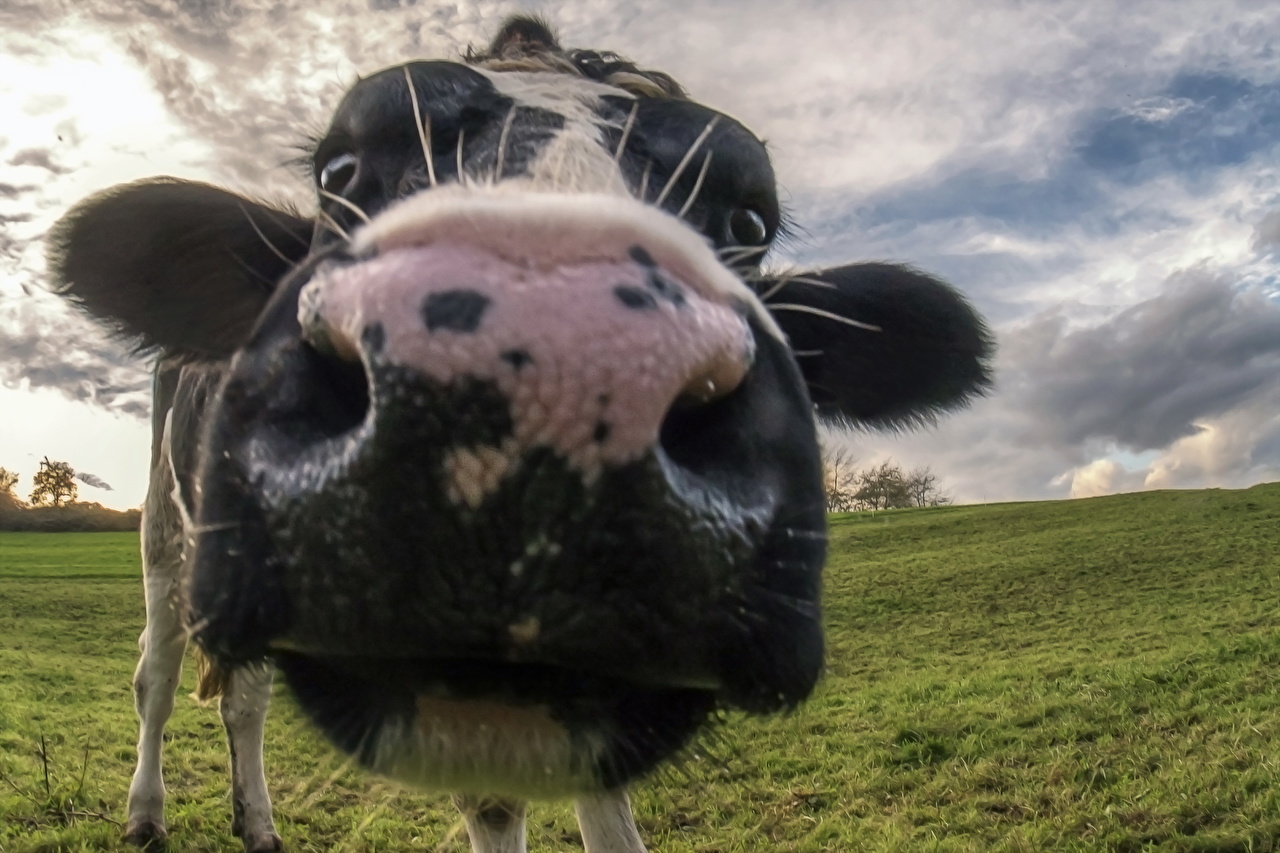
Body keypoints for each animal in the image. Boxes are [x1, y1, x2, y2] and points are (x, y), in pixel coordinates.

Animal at [48, 15, 993, 853]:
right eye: (341, 171)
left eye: (749, 223)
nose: (558, 370)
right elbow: (497, 805)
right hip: (166, 531)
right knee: (158, 676)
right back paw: (146, 812)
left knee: (244, 698)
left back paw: (257, 821)